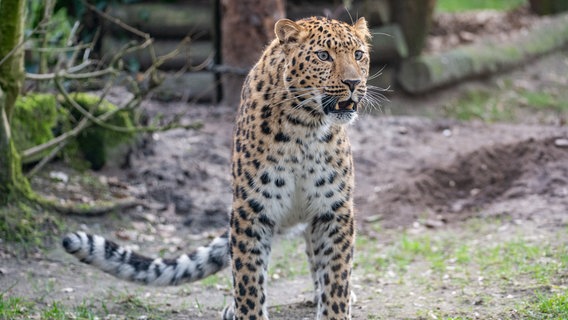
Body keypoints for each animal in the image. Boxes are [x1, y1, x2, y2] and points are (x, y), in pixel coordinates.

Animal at [63, 17, 372, 320]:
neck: (305, 129)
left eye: (358, 55)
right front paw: (246, 311)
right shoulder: (251, 210)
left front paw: (335, 303)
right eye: (323, 56)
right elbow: (248, 281)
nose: (353, 82)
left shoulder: (333, 210)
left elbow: (336, 278)